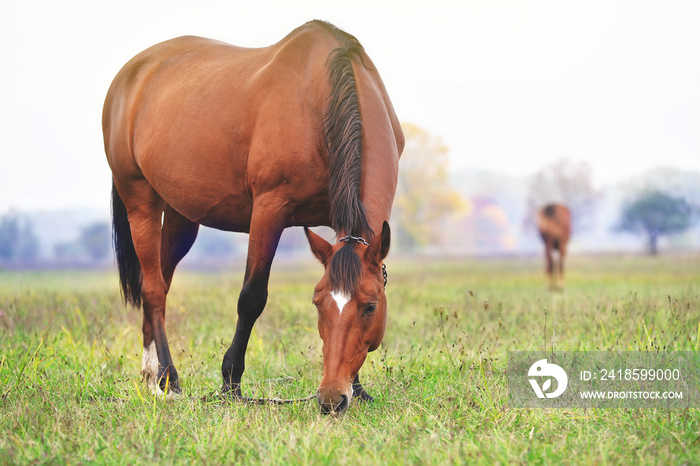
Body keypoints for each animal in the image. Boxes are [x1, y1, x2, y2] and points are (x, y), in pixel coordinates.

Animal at [101, 20, 402, 416]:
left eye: (370, 307)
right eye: (317, 303)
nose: (331, 397)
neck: (323, 96)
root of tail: (129, 74)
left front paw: (359, 387)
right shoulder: (269, 210)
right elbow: (252, 297)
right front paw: (230, 382)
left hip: (181, 216)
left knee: (161, 285)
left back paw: (152, 377)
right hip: (140, 199)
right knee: (151, 290)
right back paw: (169, 378)